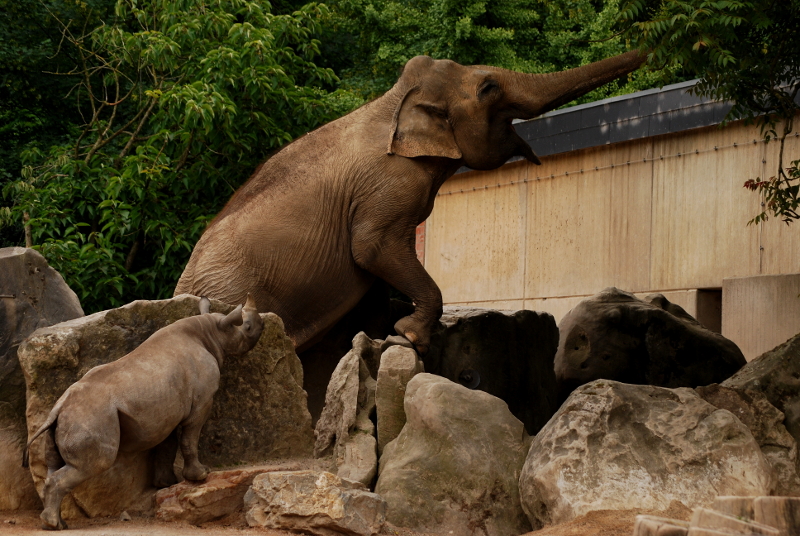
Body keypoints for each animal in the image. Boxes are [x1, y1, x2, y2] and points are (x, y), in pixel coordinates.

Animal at [23, 295, 264, 530]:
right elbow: (190, 437)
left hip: (67, 419)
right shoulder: (202, 400)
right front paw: (201, 474)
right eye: (247, 326)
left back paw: (55, 524)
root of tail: (59, 408)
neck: (212, 330)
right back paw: (54, 525)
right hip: (90, 417)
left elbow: (168, 444)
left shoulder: (167, 409)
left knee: (54, 466)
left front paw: (167, 483)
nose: (261, 322)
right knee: (95, 463)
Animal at [174, 51, 646, 354]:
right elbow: (372, 249)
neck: (395, 99)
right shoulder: (390, 185)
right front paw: (409, 336)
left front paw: (381, 337)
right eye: (489, 88)